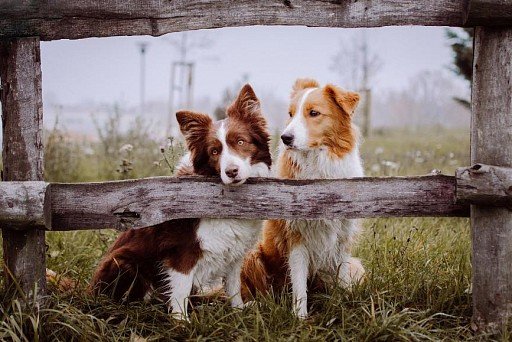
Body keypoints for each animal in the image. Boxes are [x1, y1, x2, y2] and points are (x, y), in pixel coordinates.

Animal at [90, 84, 272, 320]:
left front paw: (238, 312)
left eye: (241, 142)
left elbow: (233, 286)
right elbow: (180, 292)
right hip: (124, 263)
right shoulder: (182, 253)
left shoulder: (234, 253)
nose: (231, 172)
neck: (224, 199)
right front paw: (182, 322)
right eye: (215, 151)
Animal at [242, 79, 366, 320]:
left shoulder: (343, 238)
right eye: (290, 114)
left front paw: (343, 307)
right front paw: (300, 318)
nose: (285, 138)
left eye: (314, 113)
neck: (318, 166)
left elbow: (342, 276)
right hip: (253, 256)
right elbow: (299, 284)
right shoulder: (296, 237)